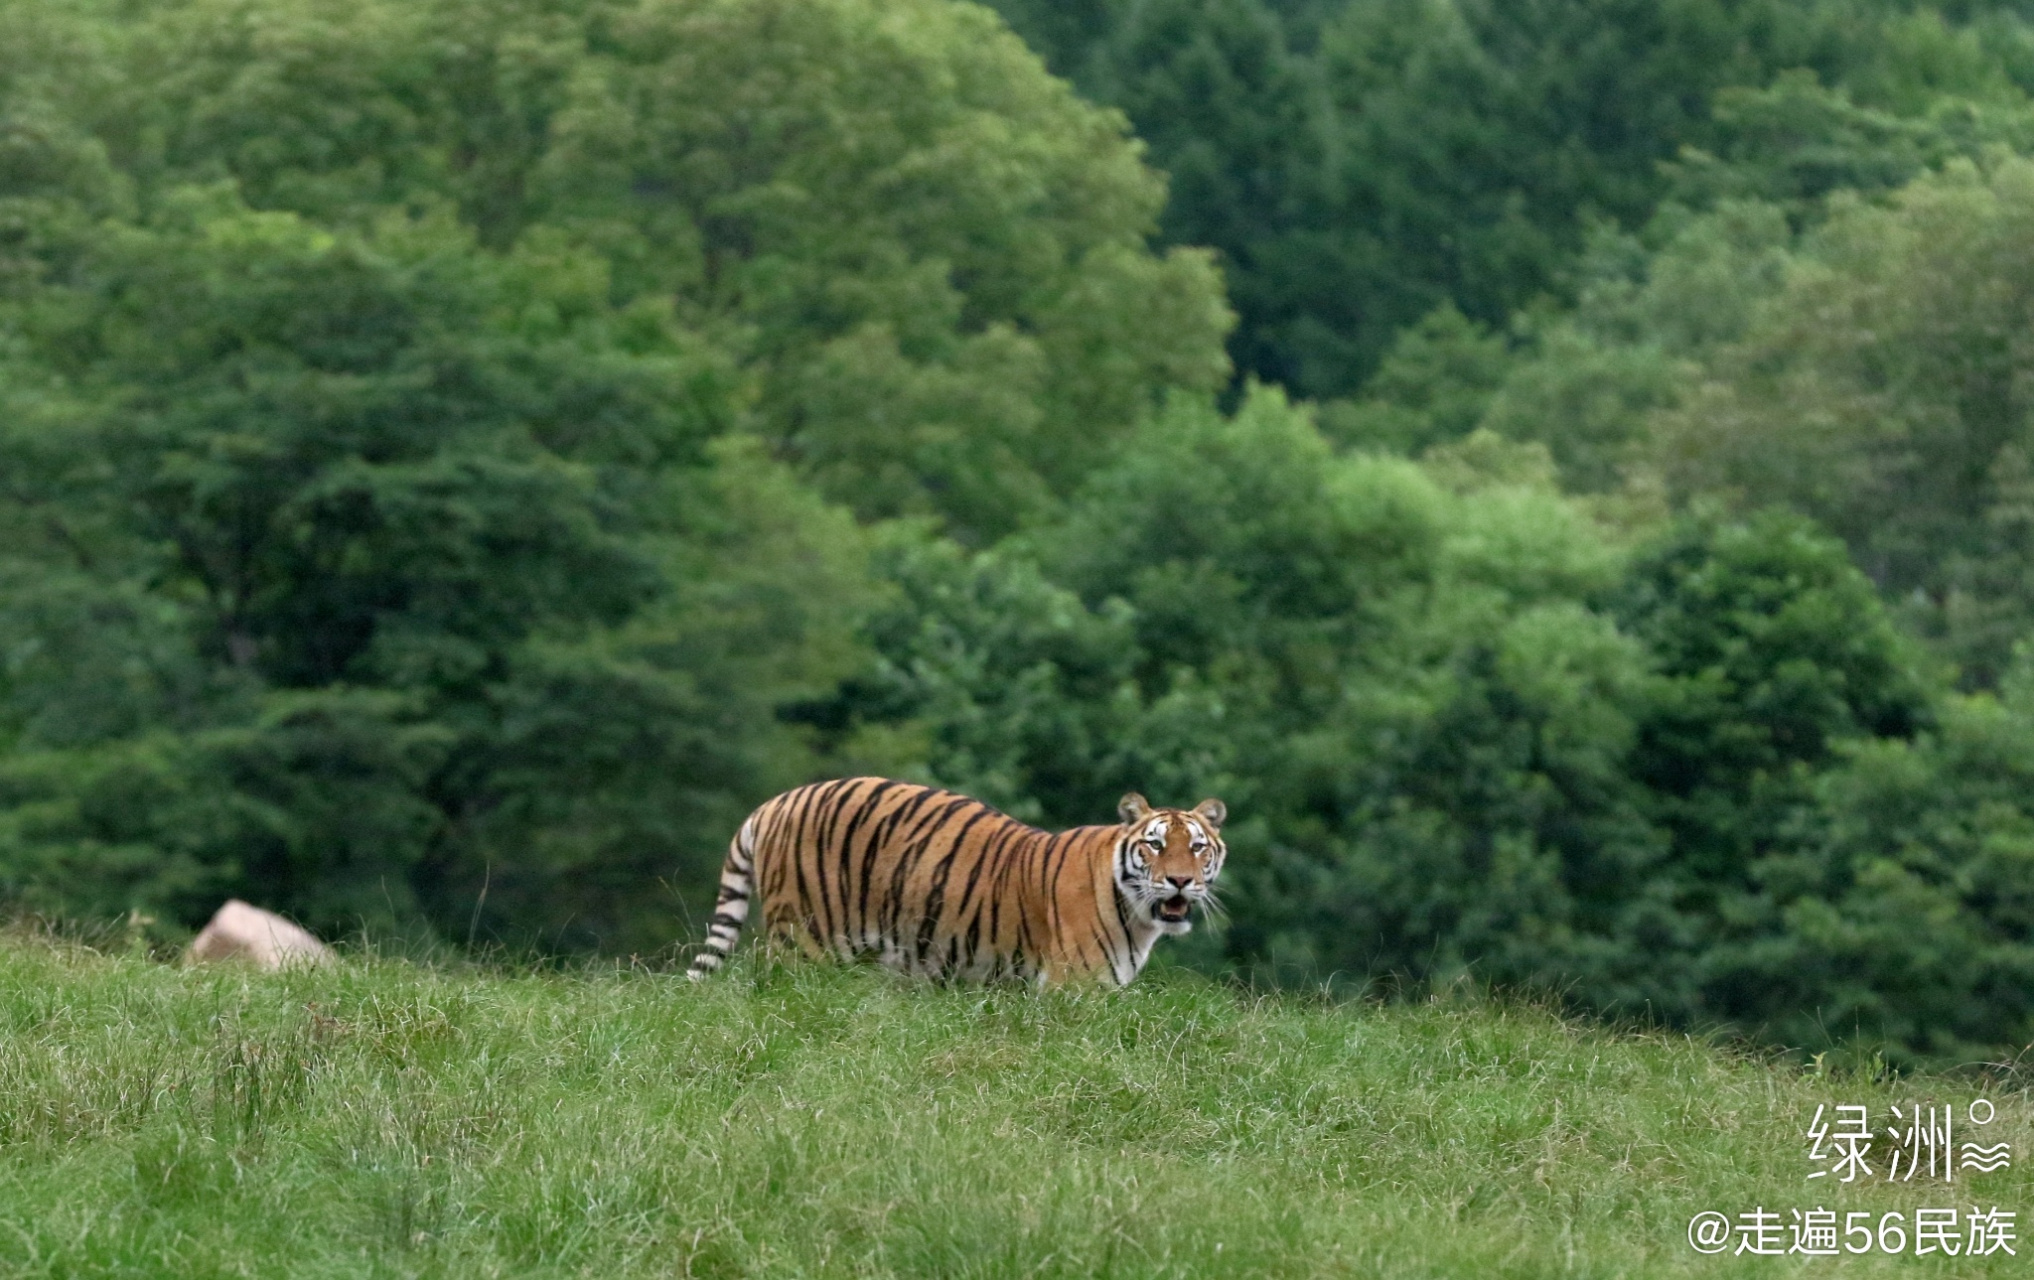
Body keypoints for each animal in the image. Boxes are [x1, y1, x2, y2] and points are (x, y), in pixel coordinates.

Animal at [683, 773, 1228, 984]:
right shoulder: (1073, 992)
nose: (1180, 881)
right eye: (1154, 844)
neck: (1138, 918)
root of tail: (776, 801)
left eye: (1196, 847)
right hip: (805, 943)